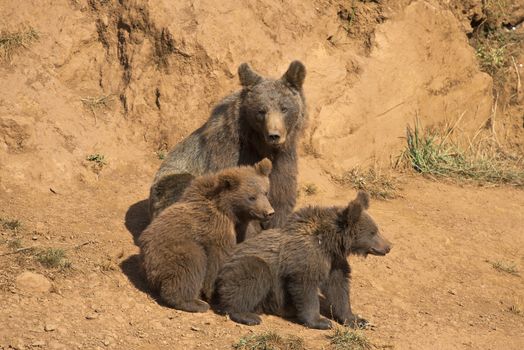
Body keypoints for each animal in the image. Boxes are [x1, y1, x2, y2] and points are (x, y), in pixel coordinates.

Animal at [148, 61, 308, 239]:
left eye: (284, 108)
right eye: (261, 110)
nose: (274, 135)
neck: (260, 145)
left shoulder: (283, 161)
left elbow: (281, 200)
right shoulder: (229, 155)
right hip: (171, 181)